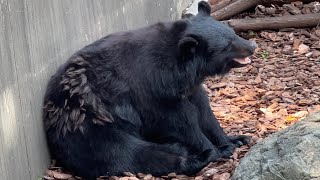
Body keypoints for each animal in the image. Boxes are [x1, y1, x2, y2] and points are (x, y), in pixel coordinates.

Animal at [43, 1, 258, 179]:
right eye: (227, 46)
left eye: (232, 32)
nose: (252, 45)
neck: (180, 70)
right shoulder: (151, 91)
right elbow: (178, 121)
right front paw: (217, 148)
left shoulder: (188, 88)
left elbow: (205, 113)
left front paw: (235, 138)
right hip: (93, 127)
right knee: (129, 153)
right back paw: (195, 157)